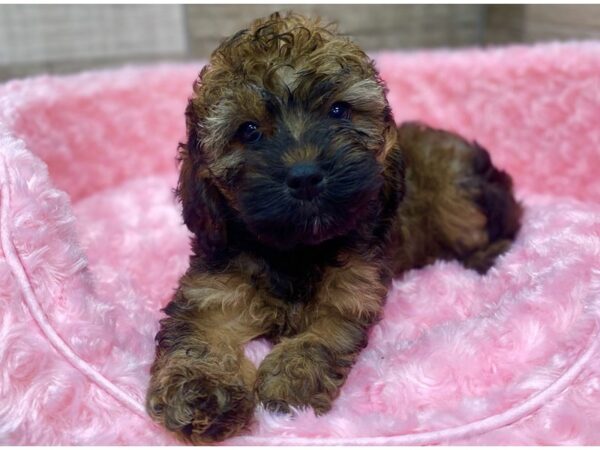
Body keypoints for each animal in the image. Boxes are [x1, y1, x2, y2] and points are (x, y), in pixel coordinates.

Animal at [144, 12, 520, 444]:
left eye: (339, 111)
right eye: (248, 131)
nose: (305, 176)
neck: (295, 250)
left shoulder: (351, 293)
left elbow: (322, 337)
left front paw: (291, 380)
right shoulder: (212, 292)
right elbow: (198, 337)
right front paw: (202, 393)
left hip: (458, 196)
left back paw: (488, 256)